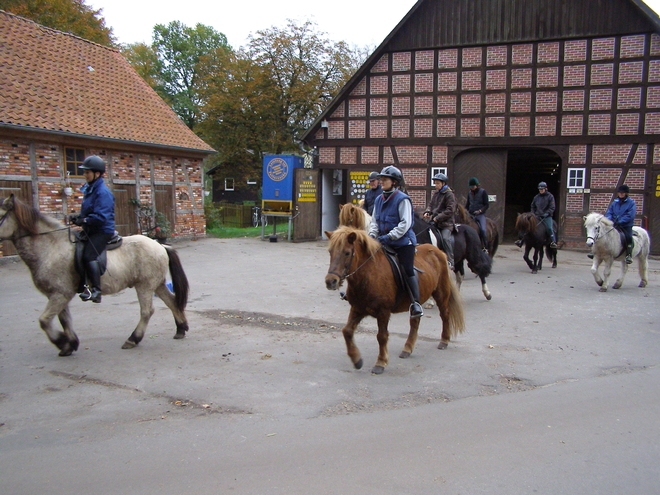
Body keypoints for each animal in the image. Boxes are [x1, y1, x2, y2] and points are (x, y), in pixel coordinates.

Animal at [324, 228, 464, 376]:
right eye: (330, 251)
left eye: (347, 253)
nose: (330, 281)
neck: (369, 274)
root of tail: (438, 252)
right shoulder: (357, 308)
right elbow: (347, 331)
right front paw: (357, 360)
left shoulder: (383, 312)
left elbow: (382, 336)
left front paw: (380, 363)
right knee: (415, 322)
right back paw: (407, 348)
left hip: (441, 294)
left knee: (445, 315)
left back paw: (444, 340)